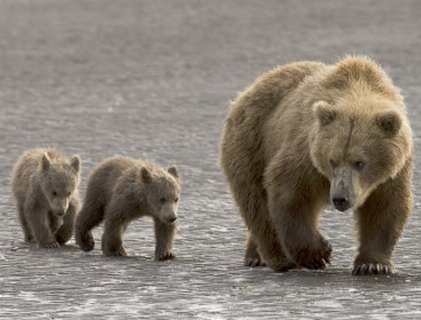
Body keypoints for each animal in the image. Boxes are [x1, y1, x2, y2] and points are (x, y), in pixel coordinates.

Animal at [220, 55, 414, 276]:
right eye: (332, 160)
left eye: (360, 162)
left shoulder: (394, 170)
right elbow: (289, 194)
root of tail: (247, 91)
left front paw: (373, 264)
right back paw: (277, 258)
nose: (340, 198)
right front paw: (319, 254)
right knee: (256, 203)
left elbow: (385, 207)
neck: (359, 87)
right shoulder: (307, 155)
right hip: (251, 144)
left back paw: (255, 255)